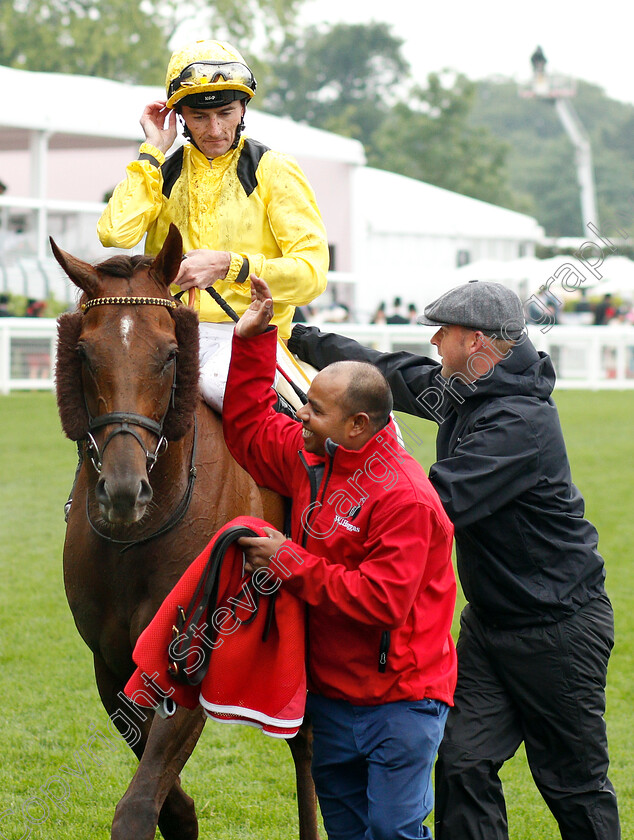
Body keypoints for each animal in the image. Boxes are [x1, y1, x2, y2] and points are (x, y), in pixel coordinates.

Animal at [53, 226, 320, 840]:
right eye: (83, 353)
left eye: (171, 353)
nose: (122, 490)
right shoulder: (111, 665)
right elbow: (168, 802)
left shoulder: (194, 650)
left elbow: (137, 805)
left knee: (310, 747)